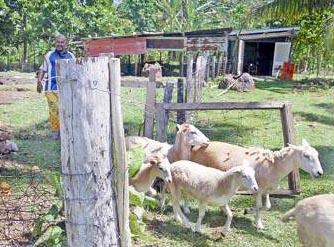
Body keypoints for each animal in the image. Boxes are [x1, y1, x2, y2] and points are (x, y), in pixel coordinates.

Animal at [180, 139, 324, 230]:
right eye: (306, 155)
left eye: (317, 154)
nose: (320, 173)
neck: (274, 166)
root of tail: (197, 146)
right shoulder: (258, 190)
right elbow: (260, 207)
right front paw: (258, 223)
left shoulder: (266, 189)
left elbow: (267, 206)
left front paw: (249, 212)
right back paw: (186, 209)